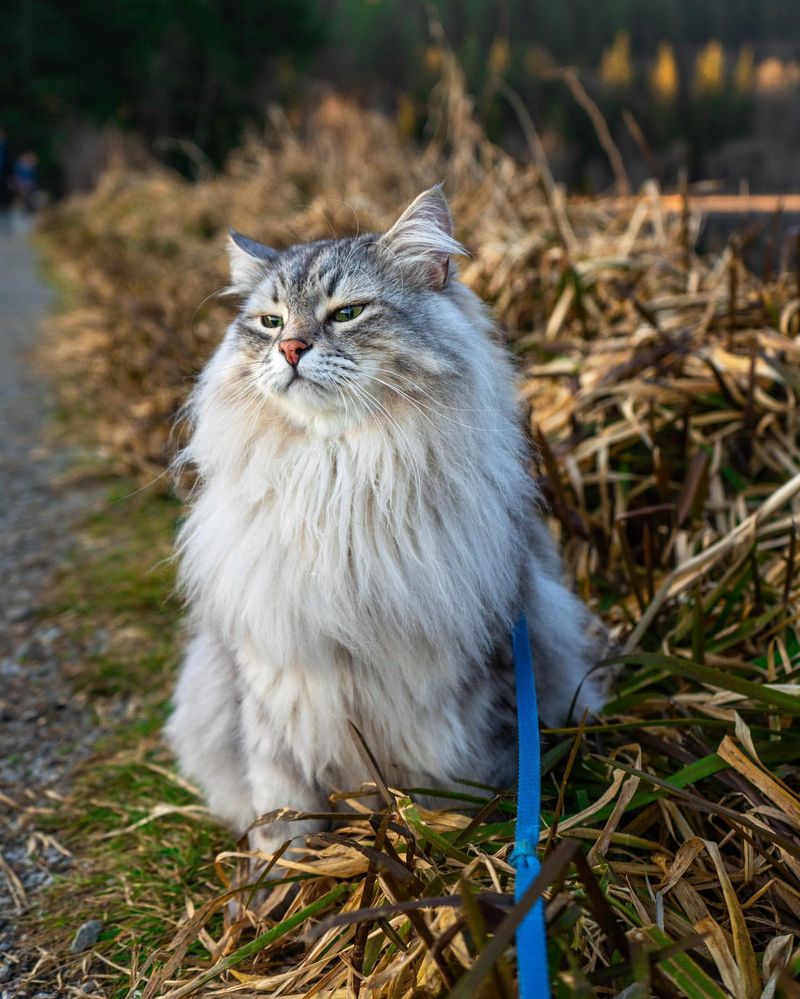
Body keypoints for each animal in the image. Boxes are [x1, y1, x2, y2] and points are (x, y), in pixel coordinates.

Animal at [169, 186, 608, 860]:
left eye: (347, 313)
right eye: (270, 323)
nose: (290, 349)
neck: (337, 482)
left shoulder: (473, 676)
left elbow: (464, 783)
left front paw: (454, 846)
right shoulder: (274, 679)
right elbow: (282, 805)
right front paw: (285, 873)